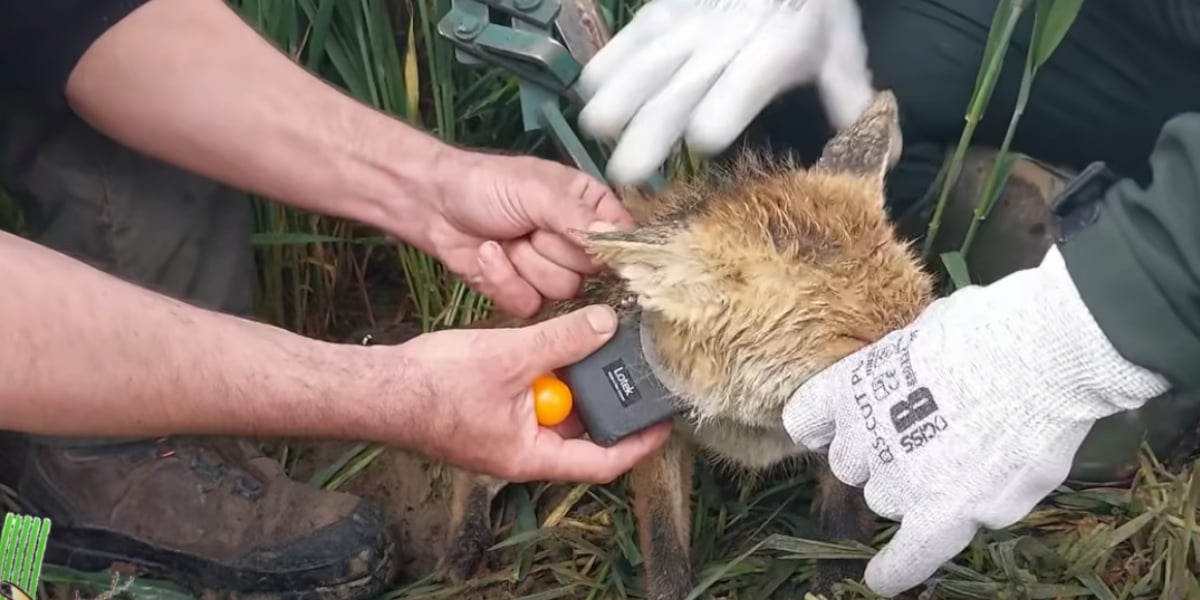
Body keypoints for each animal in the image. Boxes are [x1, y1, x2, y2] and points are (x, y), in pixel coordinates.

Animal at [432, 89, 936, 598]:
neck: (752, 429)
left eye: (925, 310)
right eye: (854, 341)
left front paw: (836, 581)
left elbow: (843, 530)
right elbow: (664, 548)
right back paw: (462, 545)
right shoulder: (659, 440)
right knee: (470, 466)